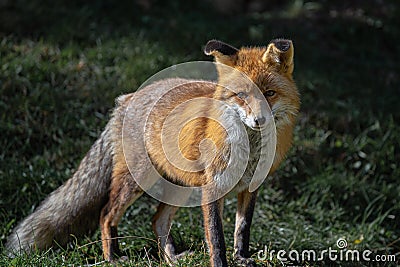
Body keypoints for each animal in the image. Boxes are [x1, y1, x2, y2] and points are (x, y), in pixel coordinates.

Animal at [5, 38, 300, 266]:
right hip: (137, 181)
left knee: (156, 221)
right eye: (241, 96)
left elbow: (242, 230)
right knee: (106, 214)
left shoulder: (250, 187)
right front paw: (221, 263)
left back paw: (170, 258)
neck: (250, 151)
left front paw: (241, 258)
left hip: (180, 187)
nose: (259, 120)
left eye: (269, 93)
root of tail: (126, 99)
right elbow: (217, 238)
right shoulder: (212, 188)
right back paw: (112, 258)